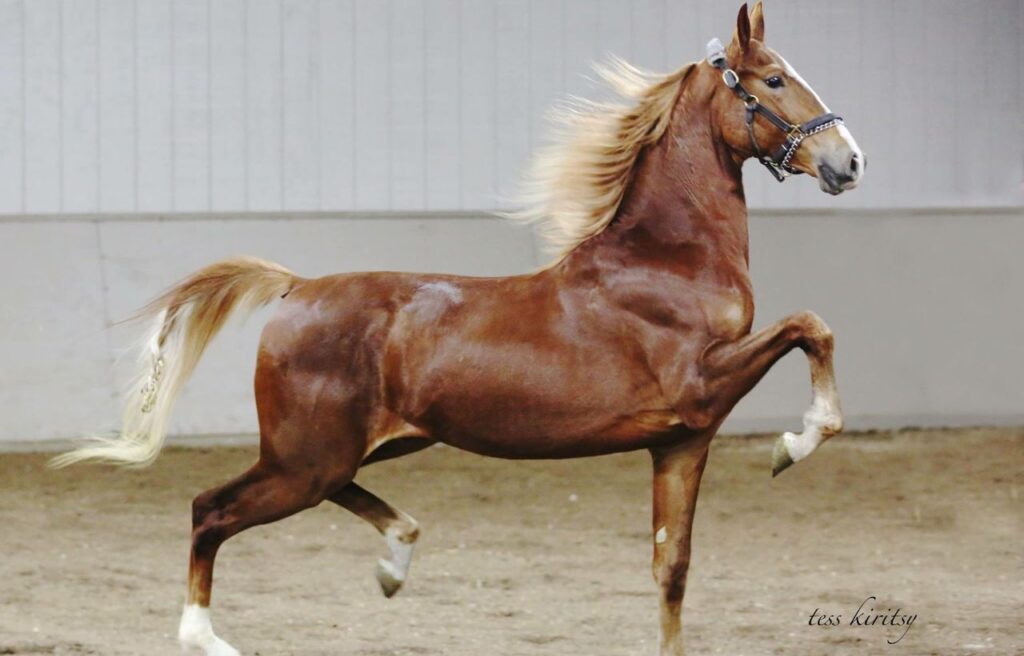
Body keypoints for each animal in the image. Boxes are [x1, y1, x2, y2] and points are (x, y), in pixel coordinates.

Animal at [53, 3, 863, 654]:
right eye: (774, 81)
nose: (848, 161)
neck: (665, 260)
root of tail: (298, 287)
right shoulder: (701, 386)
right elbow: (812, 326)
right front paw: (793, 445)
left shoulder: (680, 441)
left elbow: (672, 569)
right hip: (303, 459)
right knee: (209, 510)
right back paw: (207, 637)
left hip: (350, 449)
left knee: (330, 496)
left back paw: (395, 561)